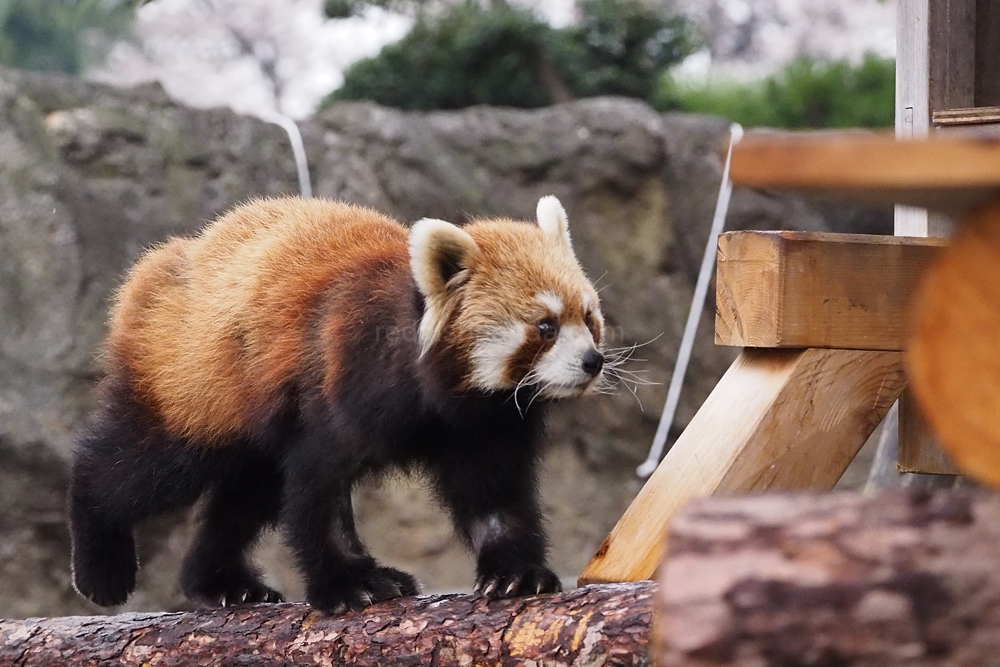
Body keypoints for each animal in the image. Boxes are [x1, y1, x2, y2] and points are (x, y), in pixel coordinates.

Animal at [70, 196, 604, 612]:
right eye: (545, 327)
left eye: (588, 317)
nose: (593, 362)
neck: (444, 397)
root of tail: (167, 261)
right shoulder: (342, 380)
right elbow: (320, 486)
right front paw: (354, 582)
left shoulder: (485, 425)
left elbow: (494, 495)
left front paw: (516, 573)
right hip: (195, 383)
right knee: (145, 467)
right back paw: (101, 561)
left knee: (249, 491)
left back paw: (221, 583)